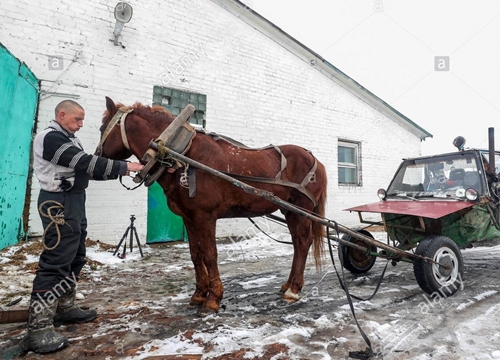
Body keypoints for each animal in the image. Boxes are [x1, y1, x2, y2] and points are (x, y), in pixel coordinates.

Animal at [99, 97, 330, 314]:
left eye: (102, 128)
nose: (97, 156)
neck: (183, 157)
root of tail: (315, 160)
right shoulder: (189, 217)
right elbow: (195, 254)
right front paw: (199, 294)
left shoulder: (205, 216)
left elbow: (210, 255)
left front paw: (213, 299)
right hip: (290, 211)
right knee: (297, 244)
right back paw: (288, 285)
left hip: (302, 210)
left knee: (302, 242)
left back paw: (294, 290)